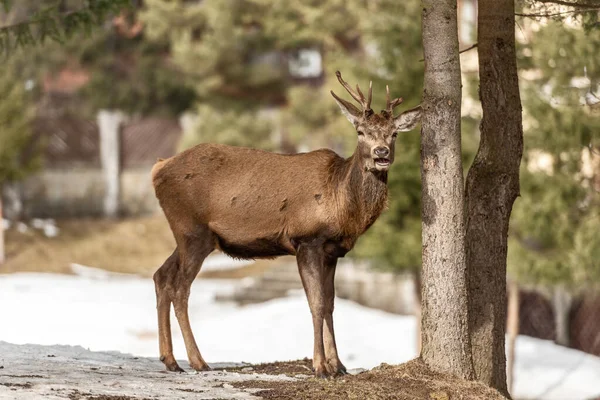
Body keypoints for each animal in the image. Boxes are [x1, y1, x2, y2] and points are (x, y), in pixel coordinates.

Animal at [151, 70, 422, 376]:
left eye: (394, 133)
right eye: (360, 131)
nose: (381, 153)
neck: (342, 204)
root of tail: (157, 168)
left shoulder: (333, 251)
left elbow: (330, 304)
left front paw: (338, 365)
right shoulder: (306, 240)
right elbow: (316, 303)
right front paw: (320, 366)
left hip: (193, 236)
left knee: (161, 275)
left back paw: (170, 360)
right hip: (191, 230)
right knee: (180, 287)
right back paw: (197, 360)